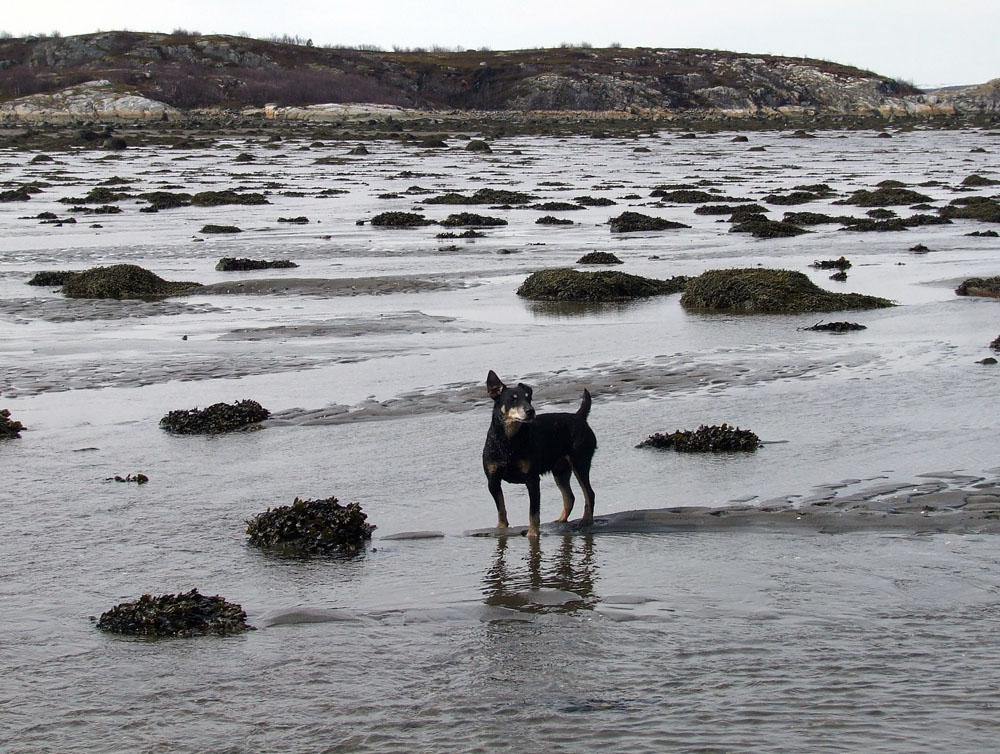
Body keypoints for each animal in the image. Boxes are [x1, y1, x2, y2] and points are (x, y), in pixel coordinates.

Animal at [482, 368, 596, 536]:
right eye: (512, 399)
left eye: (528, 398)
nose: (530, 411)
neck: (508, 442)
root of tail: (579, 416)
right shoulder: (493, 481)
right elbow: (501, 509)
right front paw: (501, 529)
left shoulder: (532, 479)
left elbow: (533, 512)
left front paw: (533, 534)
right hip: (560, 470)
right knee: (570, 497)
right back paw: (561, 520)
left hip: (580, 461)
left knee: (589, 493)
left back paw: (586, 521)